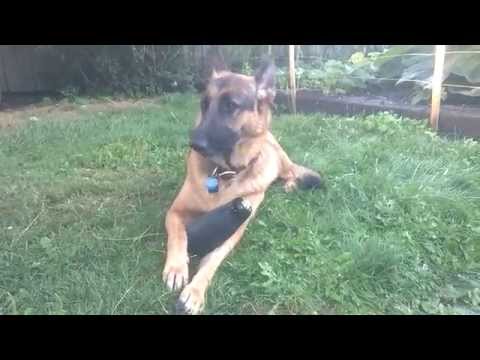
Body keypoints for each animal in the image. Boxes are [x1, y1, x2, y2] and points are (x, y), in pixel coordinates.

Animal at [162, 58, 322, 312]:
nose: (193, 143)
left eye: (231, 106)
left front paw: (195, 292)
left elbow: (211, 262)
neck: (223, 174)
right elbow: (178, 236)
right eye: (204, 105)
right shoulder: (174, 212)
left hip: (279, 156)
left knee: (290, 172)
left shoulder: (233, 230)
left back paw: (289, 185)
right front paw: (177, 268)